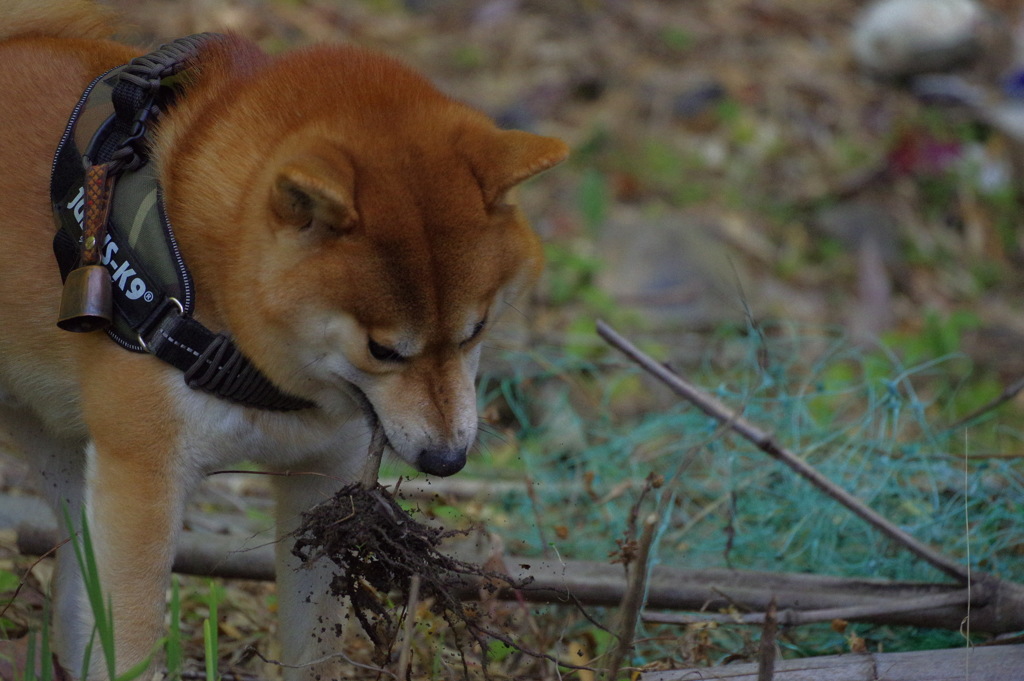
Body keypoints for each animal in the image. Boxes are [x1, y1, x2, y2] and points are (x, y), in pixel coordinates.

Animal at [0, 2, 565, 675]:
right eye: (382, 349)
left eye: (475, 330)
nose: (447, 460)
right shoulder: (143, 472)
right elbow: (131, 640)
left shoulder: (324, 476)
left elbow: (312, 641)